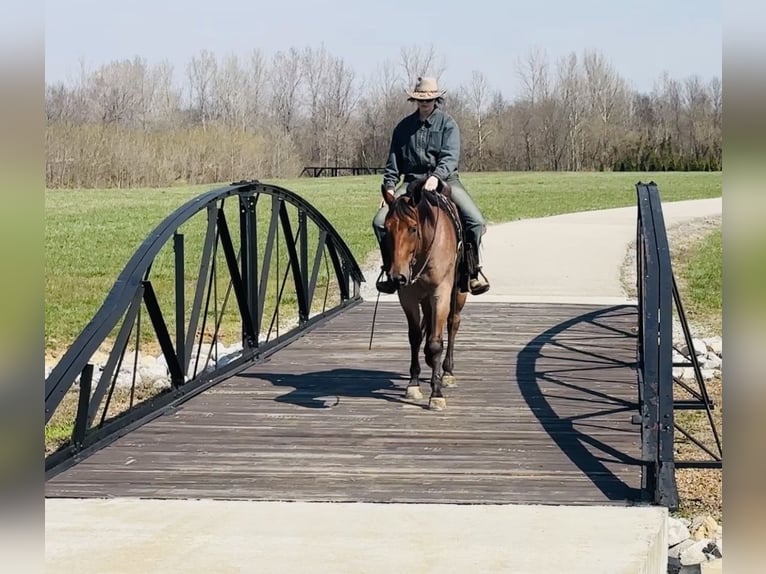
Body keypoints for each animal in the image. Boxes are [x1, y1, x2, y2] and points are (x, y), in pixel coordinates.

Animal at [382, 177, 468, 410]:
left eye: (413, 228)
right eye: (386, 229)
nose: (397, 277)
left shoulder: (441, 293)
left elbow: (436, 342)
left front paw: (436, 393)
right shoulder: (408, 296)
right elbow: (415, 337)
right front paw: (413, 384)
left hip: (458, 293)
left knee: (453, 323)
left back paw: (447, 371)